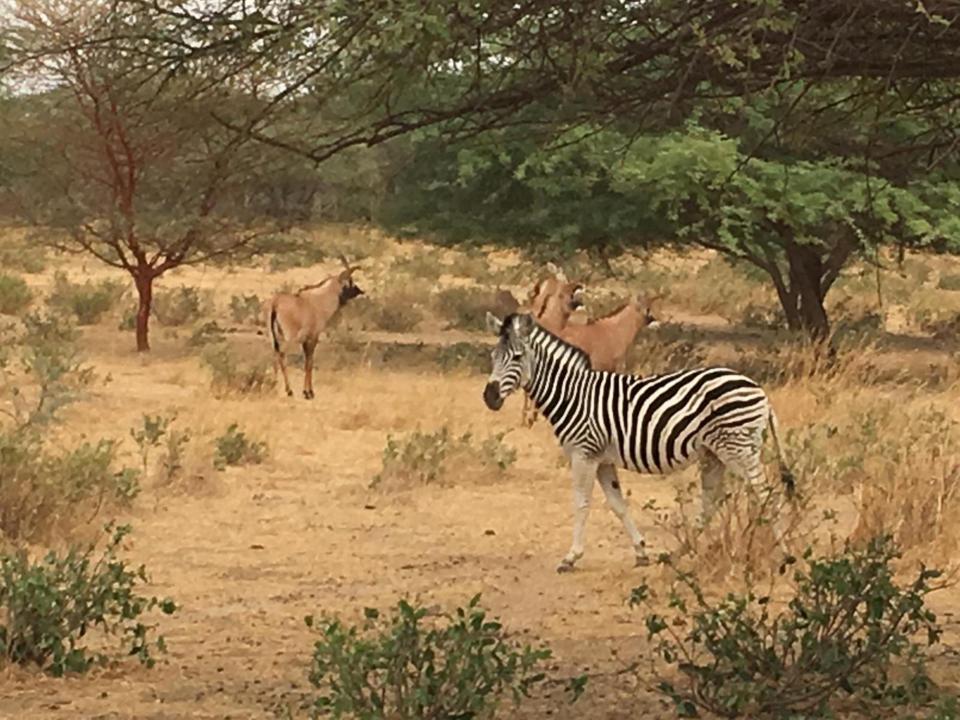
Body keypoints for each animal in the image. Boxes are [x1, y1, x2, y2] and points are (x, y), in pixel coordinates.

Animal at [266, 258, 364, 400]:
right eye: (349, 281)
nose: (359, 291)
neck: (318, 301)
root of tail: (275, 303)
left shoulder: (305, 341)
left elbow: (306, 362)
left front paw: (306, 391)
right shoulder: (313, 338)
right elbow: (309, 363)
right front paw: (309, 392)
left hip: (275, 338)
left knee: (275, 355)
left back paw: (274, 386)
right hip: (288, 338)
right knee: (282, 355)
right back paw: (289, 390)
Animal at [480, 312, 796, 572]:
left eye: (517, 357)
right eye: (493, 355)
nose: (490, 397)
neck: (573, 394)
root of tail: (761, 392)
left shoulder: (583, 454)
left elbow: (581, 503)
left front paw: (571, 557)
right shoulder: (603, 459)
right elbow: (618, 504)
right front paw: (641, 552)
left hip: (739, 450)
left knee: (767, 495)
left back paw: (785, 556)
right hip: (714, 454)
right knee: (711, 503)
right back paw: (682, 552)